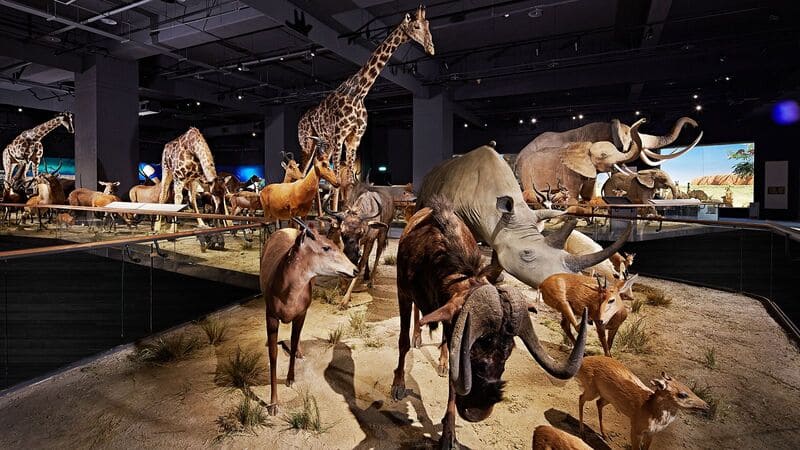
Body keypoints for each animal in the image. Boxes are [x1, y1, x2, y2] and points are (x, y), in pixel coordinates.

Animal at [260, 218, 356, 414]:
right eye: (326, 247)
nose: (355, 270)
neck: (287, 293)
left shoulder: (301, 315)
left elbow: (294, 340)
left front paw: (290, 379)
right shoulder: (271, 316)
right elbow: (273, 356)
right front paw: (273, 404)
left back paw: (298, 352)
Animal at [298, 5, 434, 209]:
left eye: (428, 25)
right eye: (416, 26)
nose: (431, 48)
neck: (359, 93)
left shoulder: (354, 138)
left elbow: (347, 182)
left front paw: (345, 213)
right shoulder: (339, 136)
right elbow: (337, 181)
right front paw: (336, 216)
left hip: (324, 144)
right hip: (307, 144)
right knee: (298, 173)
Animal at [576, 356, 712, 450]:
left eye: (690, 389)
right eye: (682, 394)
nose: (707, 405)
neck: (649, 408)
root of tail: (583, 361)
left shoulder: (651, 433)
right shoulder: (636, 430)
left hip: (607, 397)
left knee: (598, 403)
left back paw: (605, 435)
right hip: (591, 390)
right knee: (581, 398)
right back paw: (582, 433)